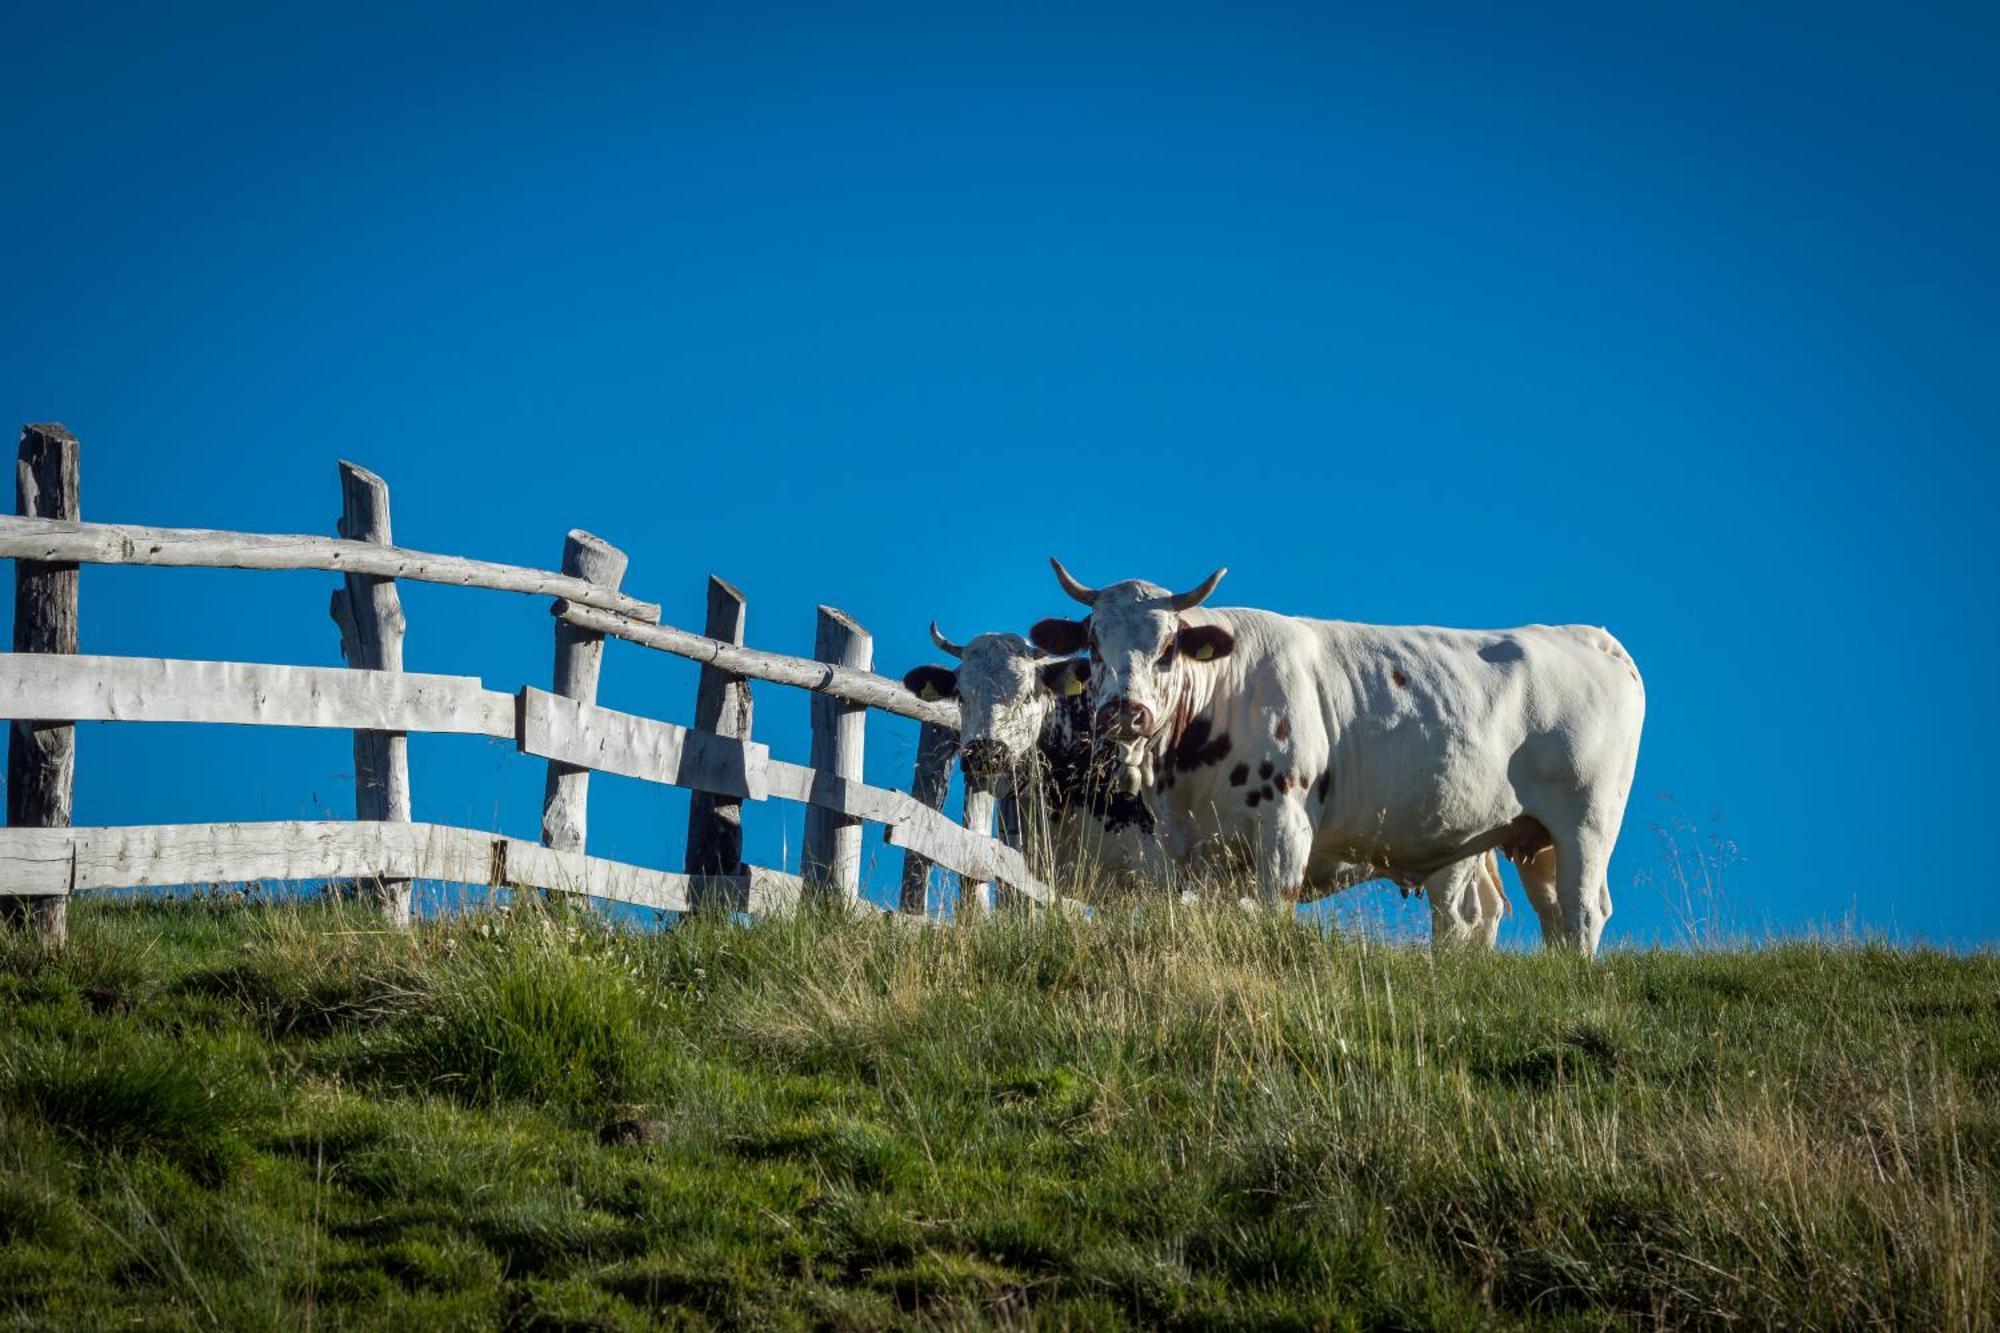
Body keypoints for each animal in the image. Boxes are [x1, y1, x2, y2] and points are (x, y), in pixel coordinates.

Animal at [1032, 556, 1640, 948]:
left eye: (1167, 648)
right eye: (1094, 644)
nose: (1124, 712)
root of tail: (1587, 636)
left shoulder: (1286, 824)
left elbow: (1273, 910)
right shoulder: (1182, 847)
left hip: (1587, 821)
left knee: (1582, 910)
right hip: (1527, 835)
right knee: (1541, 912)